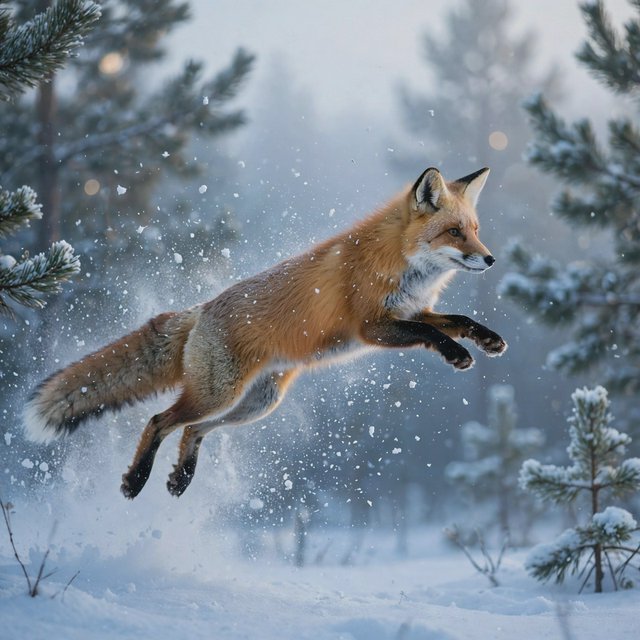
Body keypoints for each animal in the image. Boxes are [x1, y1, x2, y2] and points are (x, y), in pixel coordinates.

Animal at [24, 166, 507, 499]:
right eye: (454, 232)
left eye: (475, 230)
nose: (490, 259)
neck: (401, 265)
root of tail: (200, 310)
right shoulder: (373, 326)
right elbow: (433, 335)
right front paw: (458, 354)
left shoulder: (414, 310)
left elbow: (457, 320)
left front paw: (487, 339)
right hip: (219, 393)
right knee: (159, 421)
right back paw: (135, 481)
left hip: (258, 403)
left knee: (193, 430)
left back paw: (181, 478)